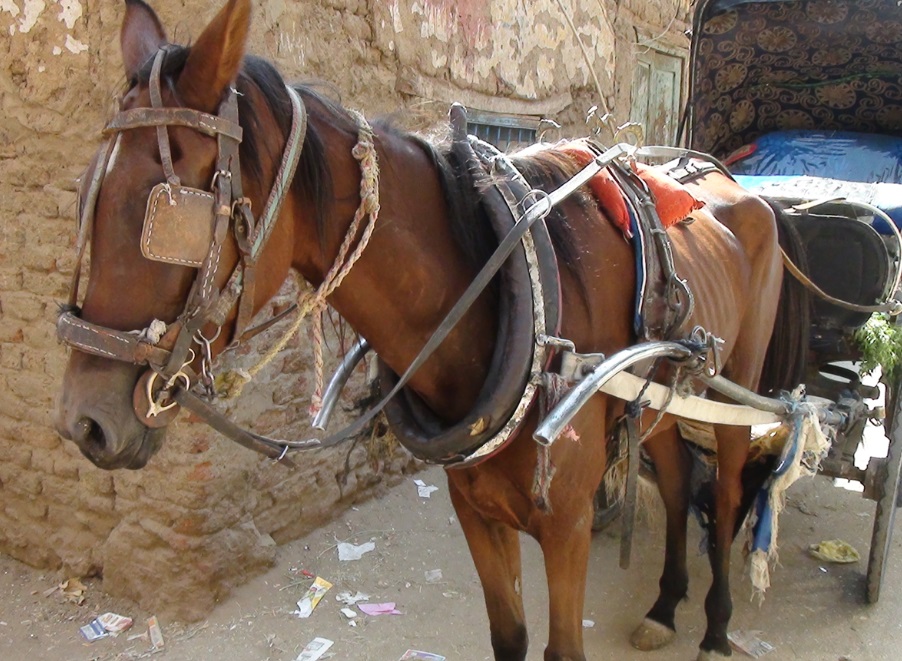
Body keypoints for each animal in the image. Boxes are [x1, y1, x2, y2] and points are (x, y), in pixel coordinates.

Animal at [56, 2, 804, 656]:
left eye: (163, 210)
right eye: (87, 191)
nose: (83, 424)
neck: (510, 304)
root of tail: (732, 185)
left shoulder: (566, 524)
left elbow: (562, 646)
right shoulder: (476, 509)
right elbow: (509, 638)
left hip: (738, 389)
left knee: (727, 492)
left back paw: (714, 624)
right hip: (667, 397)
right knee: (677, 481)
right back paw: (665, 605)